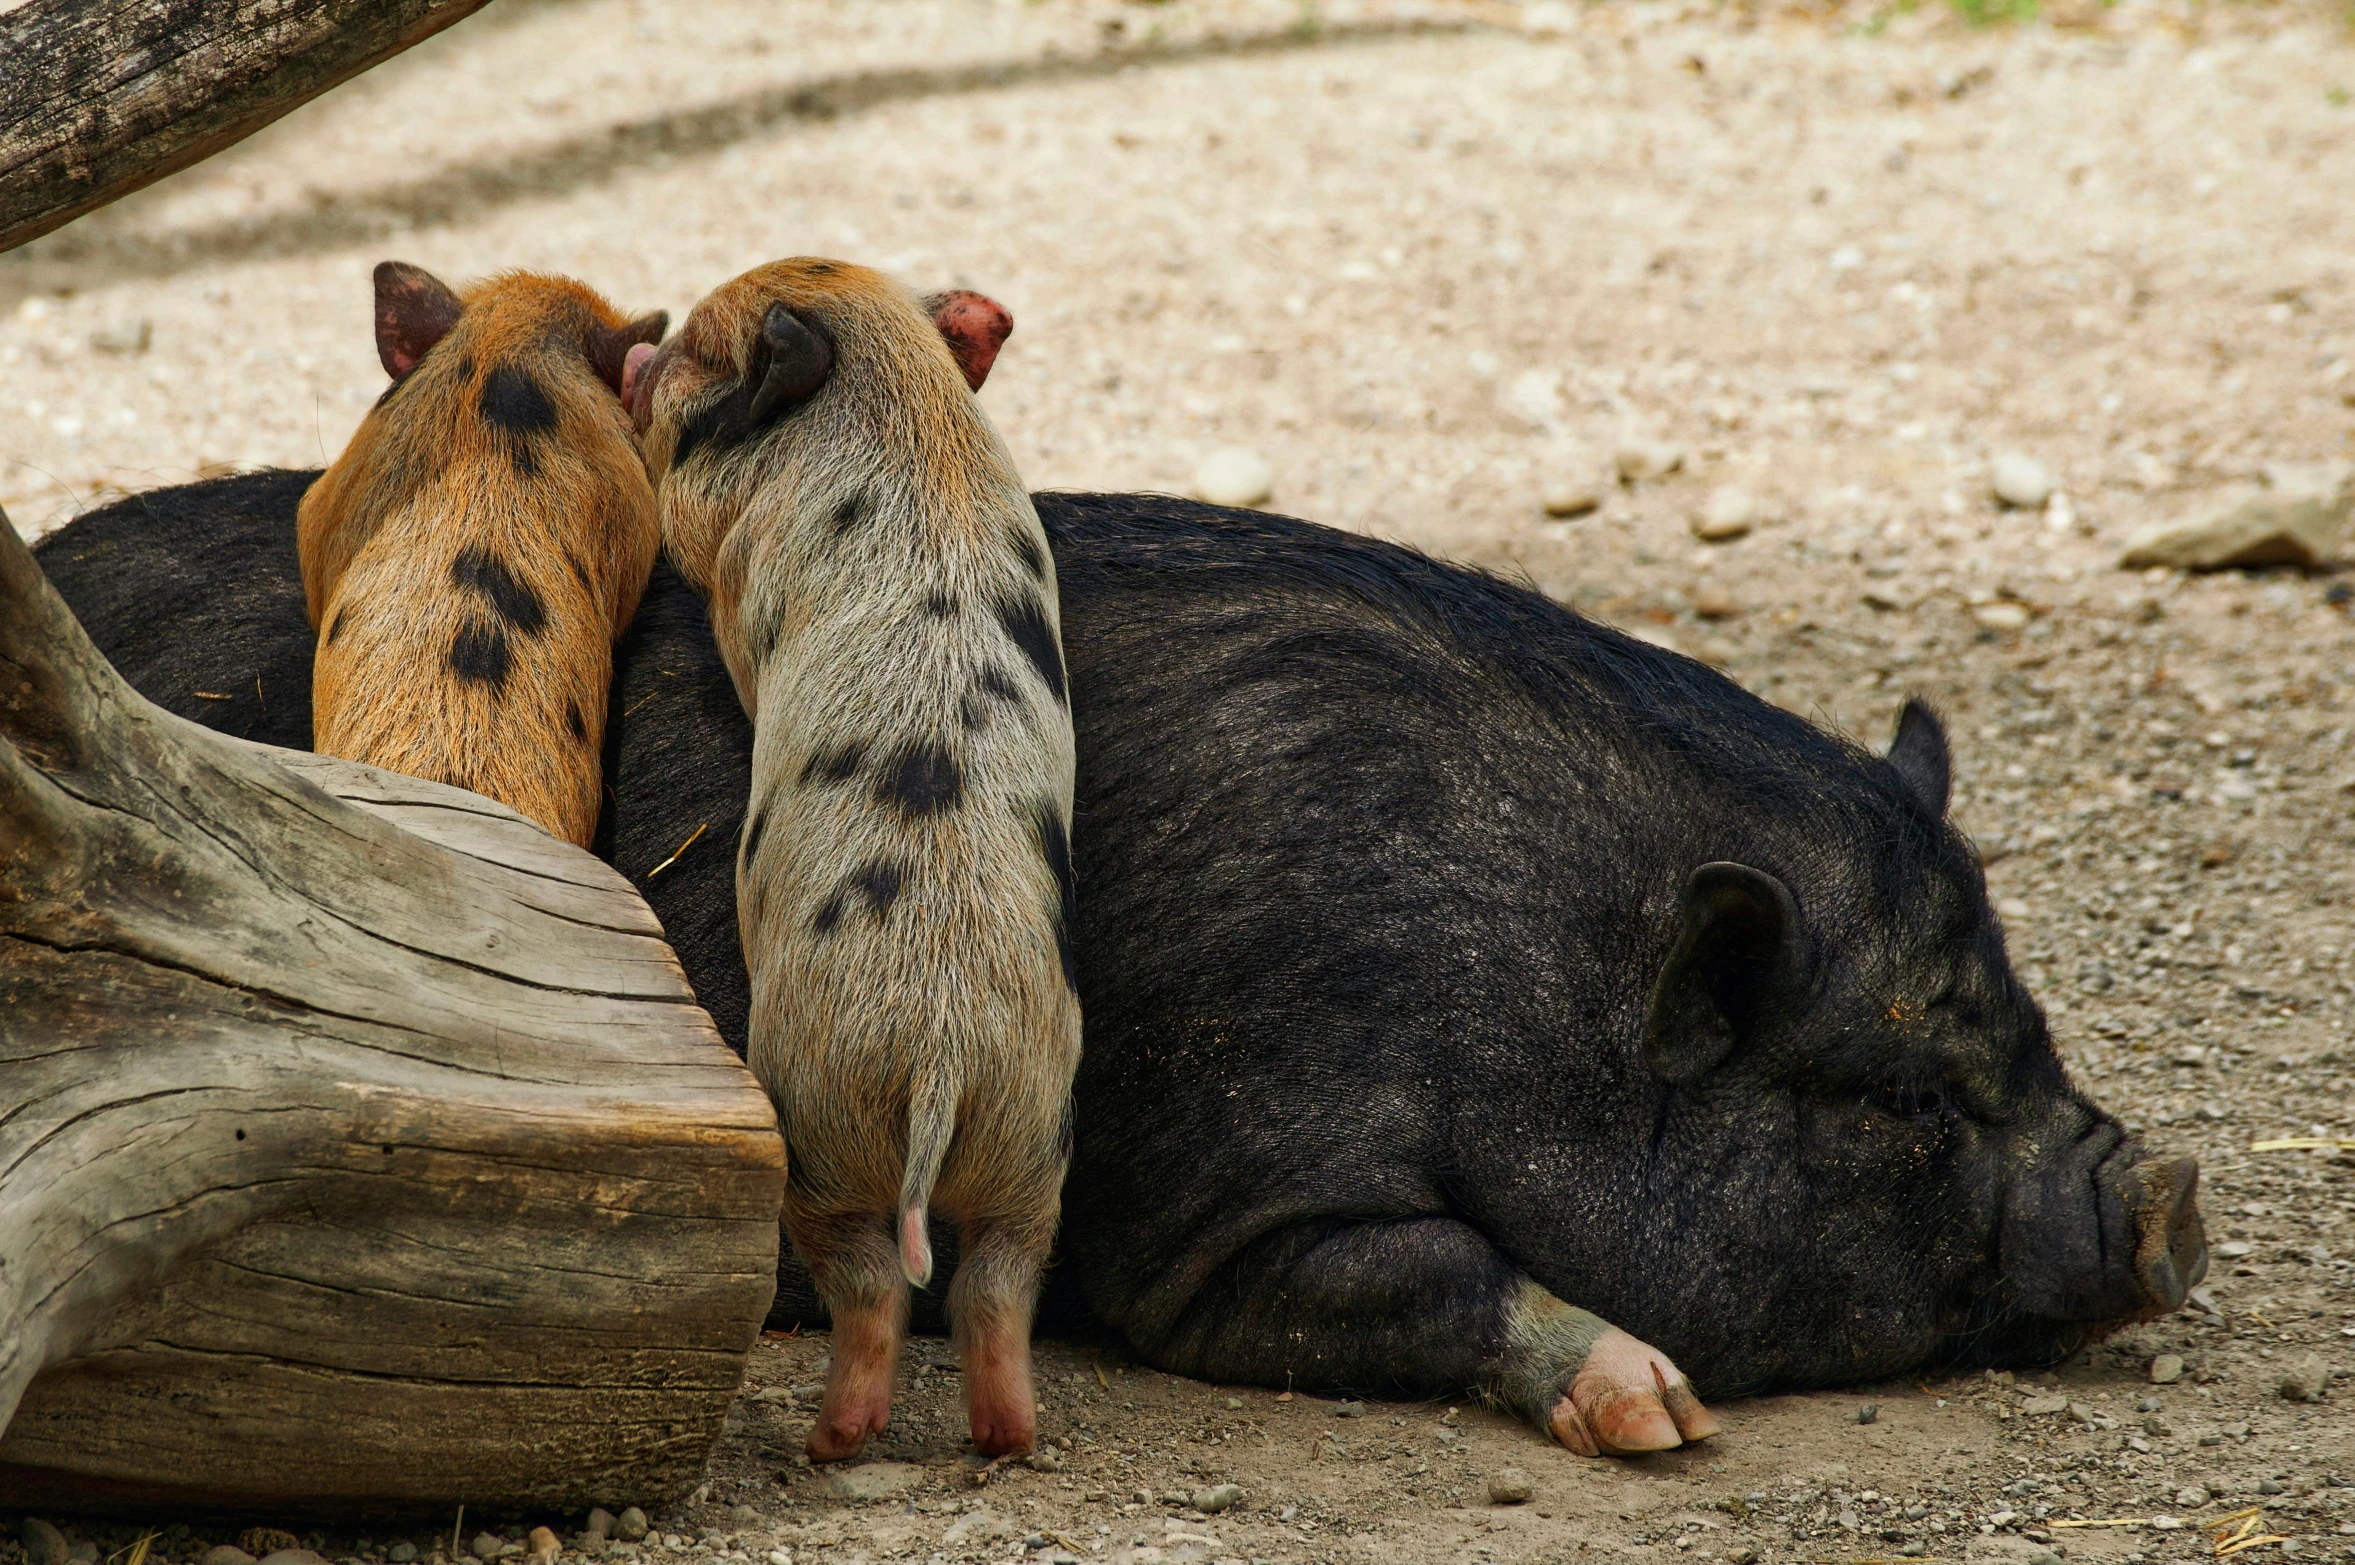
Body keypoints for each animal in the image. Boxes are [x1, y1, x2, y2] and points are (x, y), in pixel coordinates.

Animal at [32, 473, 2204, 1449]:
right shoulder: (1225, 1204)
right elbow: (1423, 1276)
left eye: (2027, 1024)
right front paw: (1657, 1406)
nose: (2171, 1190)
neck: (1527, 990)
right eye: (1903, 1092)